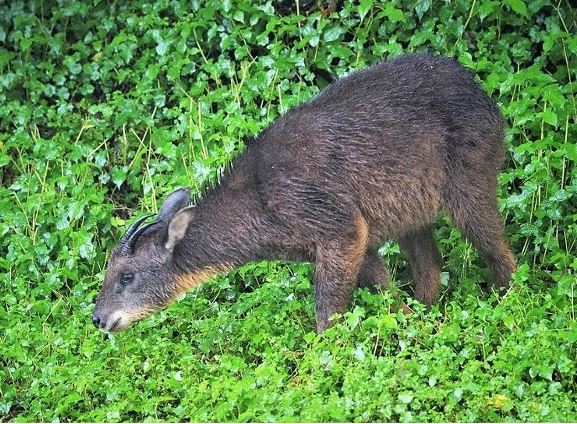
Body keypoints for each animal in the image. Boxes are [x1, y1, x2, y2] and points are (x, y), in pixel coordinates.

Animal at [92, 53, 516, 332]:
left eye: (126, 276)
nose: (98, 319)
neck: (259, 201)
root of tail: (486, 97)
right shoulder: (359, 239)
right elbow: (386, 292)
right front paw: (407, 329)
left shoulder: (340, 229)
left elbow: (327, 312)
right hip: (412, 216)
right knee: (430, 269)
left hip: (469, 188)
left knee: (500, 251)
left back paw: (507, 300)